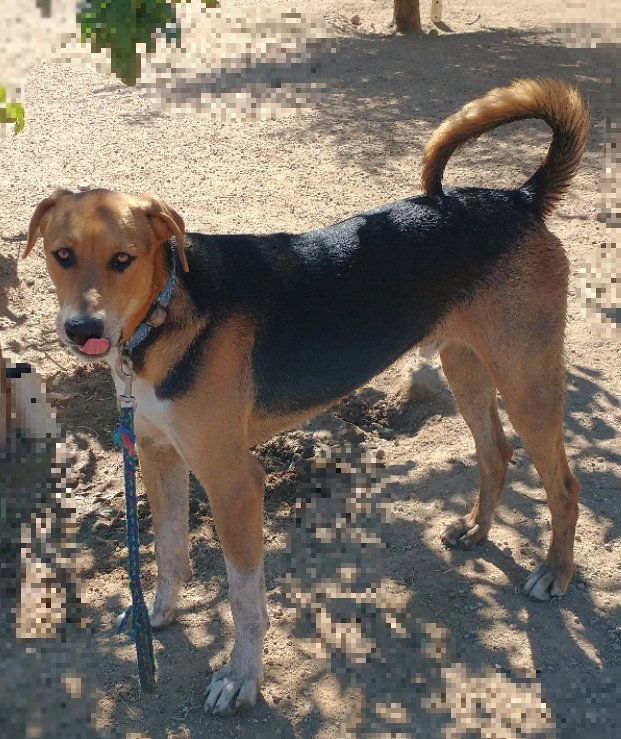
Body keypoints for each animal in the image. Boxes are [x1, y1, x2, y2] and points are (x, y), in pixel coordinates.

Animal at [24, 78, 588, 712]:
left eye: (124, 260)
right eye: (61, 255)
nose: (82, 331)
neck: (164, 315)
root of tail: (519, 198)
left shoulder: (234, 483)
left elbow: (244, 598)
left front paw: (241, 676)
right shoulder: (157, 456)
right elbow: (168, 550)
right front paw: (159, 615)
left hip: (525, 382)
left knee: (565, 485)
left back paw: (556, 572)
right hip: (464, 364)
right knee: (495, 452)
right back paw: (476, 531)